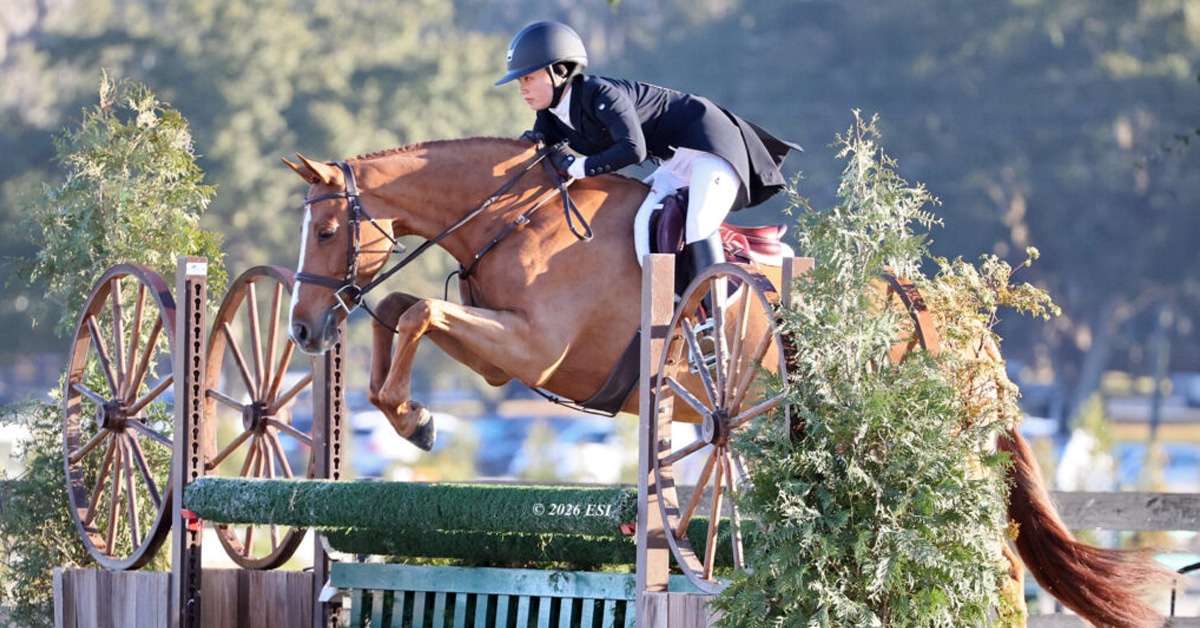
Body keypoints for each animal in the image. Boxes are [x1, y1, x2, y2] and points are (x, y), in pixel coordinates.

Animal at [284, 137, 1172, 626]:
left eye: (326, 230)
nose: (301, 330)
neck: (518, 216)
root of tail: (959, 321)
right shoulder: (504, 351)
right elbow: (401, 308)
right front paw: (407, 411)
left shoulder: (533, 348)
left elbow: (418, 314)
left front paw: (416, 421)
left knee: (989, 558)